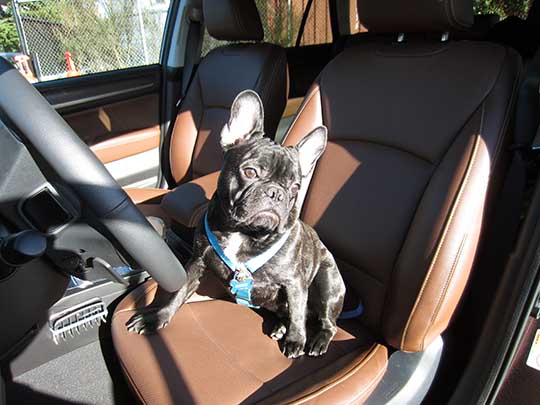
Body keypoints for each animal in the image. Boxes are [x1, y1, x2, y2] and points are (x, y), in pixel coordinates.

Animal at [127, 90, 346, 356]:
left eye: (295, 187)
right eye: (250, 172)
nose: (276, 193)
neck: (244, 232)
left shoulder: (294, 282)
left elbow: (297, 311)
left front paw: (296, 340)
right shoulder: (196, 263)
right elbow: (177, 293)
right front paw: (157, 317)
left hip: (327, 281)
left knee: (325, 321)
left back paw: (316, 339)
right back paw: (279, 327)